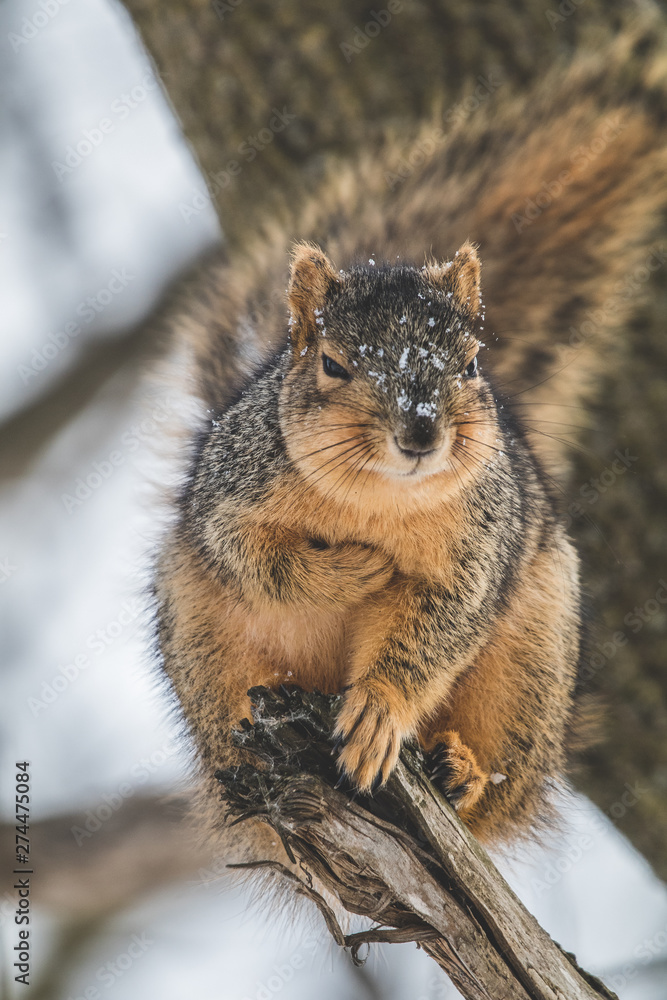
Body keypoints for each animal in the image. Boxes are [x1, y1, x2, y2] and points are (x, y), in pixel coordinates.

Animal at [153, 30, 667, 857]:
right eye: (333, 364)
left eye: (471, 363)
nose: (421, 430)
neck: (376, 500)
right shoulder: (229, 497)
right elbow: (260, 561)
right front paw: (352, 571)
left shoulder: (473, 557)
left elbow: (434, 630)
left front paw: (376, 711)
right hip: (199, 641)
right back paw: (247, 759)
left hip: (532, 661)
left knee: (497, 796)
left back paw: (461, 774)